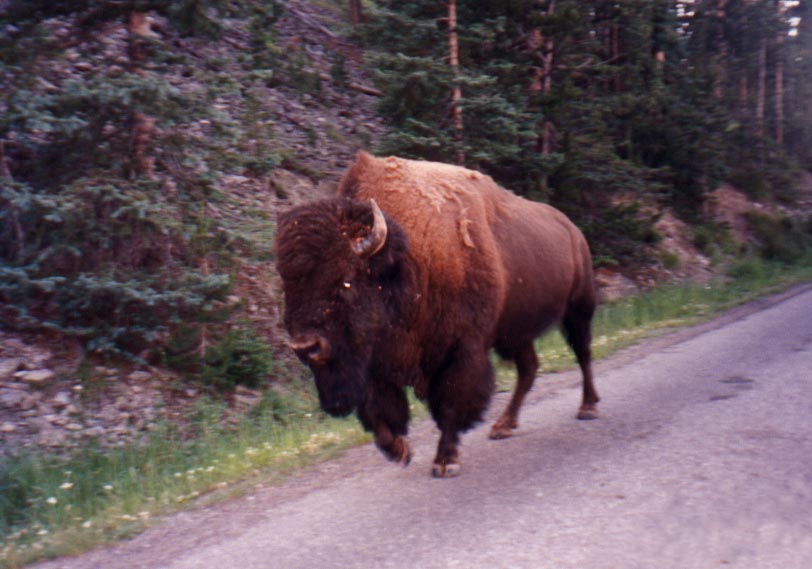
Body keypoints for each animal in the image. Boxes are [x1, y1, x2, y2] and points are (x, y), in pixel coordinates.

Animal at [276, 151, 600, 474]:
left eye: (345, 280)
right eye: (286, 284)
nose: (306, 347)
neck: (407, 264)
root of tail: (573, 230)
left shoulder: (461, 350)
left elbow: (450, 401)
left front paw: (445, 460)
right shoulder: (375, 362)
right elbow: (379, 410)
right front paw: (398, 450)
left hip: (577, 310)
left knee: (582, 354)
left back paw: (587, 407)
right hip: (515, 334)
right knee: (529, 368)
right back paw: (503, 425)